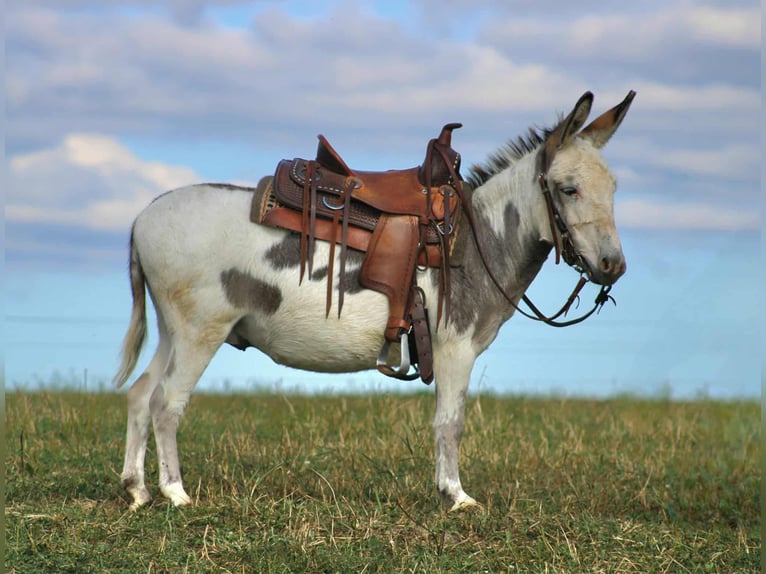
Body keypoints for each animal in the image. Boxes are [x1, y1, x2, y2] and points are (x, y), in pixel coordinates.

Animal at [114, 90, 635, 511]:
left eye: (613, 189)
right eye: (568, 189)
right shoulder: (456, 349)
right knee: (167, 403)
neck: (477, 238)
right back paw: (176, 494)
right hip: (200, 333)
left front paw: (447, 491)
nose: (613, 266)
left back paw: (138, 490)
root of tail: (143, 216)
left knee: (140, 394)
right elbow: (451, 422)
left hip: (172, 332)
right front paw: (457, 496)